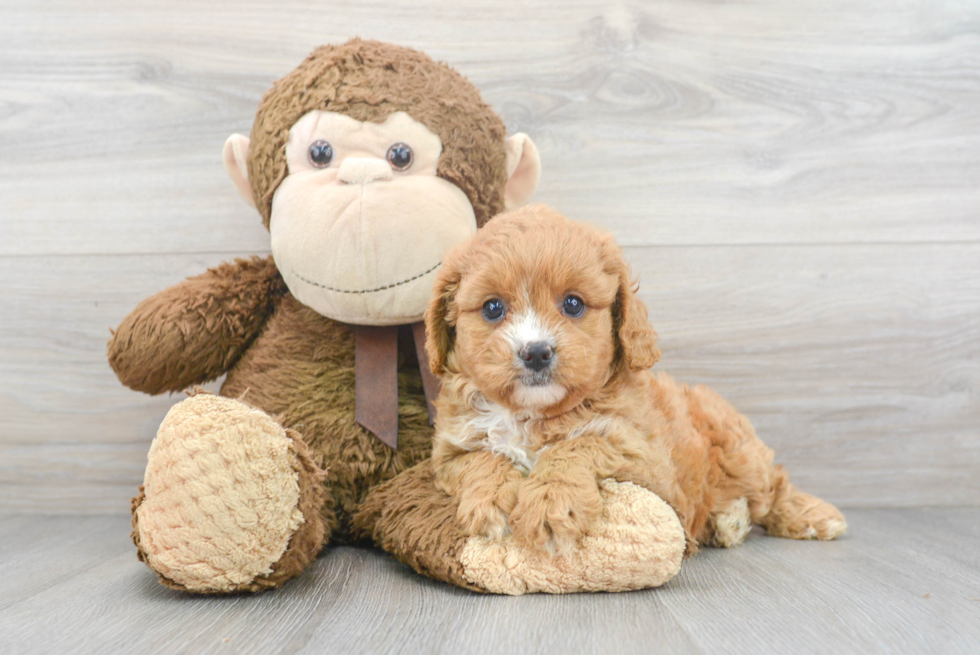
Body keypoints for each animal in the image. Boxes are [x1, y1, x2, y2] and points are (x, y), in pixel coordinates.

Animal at [424, 204, 848, 552]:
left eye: (573, 304)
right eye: (493, 308)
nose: (536, 352)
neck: (533, 414)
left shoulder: (646, 460)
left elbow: (579, 444)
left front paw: (551, 504)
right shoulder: (449, 453)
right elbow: (483, 457)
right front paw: (491, 500)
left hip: (738, 453)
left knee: (773, 485)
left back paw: (812, 517)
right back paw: (729, 522)